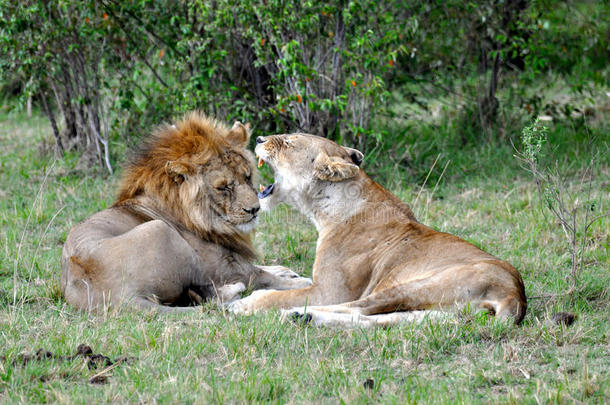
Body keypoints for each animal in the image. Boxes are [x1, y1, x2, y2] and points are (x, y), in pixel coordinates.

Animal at [60, 112, 312, 310]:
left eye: (247, 176)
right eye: (223, 187)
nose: (254, 209)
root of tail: (121, 298)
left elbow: (260, 266)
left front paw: (284, 270)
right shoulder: (222, 266)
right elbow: (260, 274)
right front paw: (302, 282)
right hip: (162, 231)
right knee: (212, 294)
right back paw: (236, 290)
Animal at [228, 133, 524, 326]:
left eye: (288, 142)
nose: (259, 139)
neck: (325, 209)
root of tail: (515, 295)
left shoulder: (329, 290)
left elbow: (285, 295)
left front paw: (252, 300)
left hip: (417, 284)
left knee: (358, 308)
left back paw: (279, 310)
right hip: (438, 314)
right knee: (374, 319)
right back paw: (303, 317)